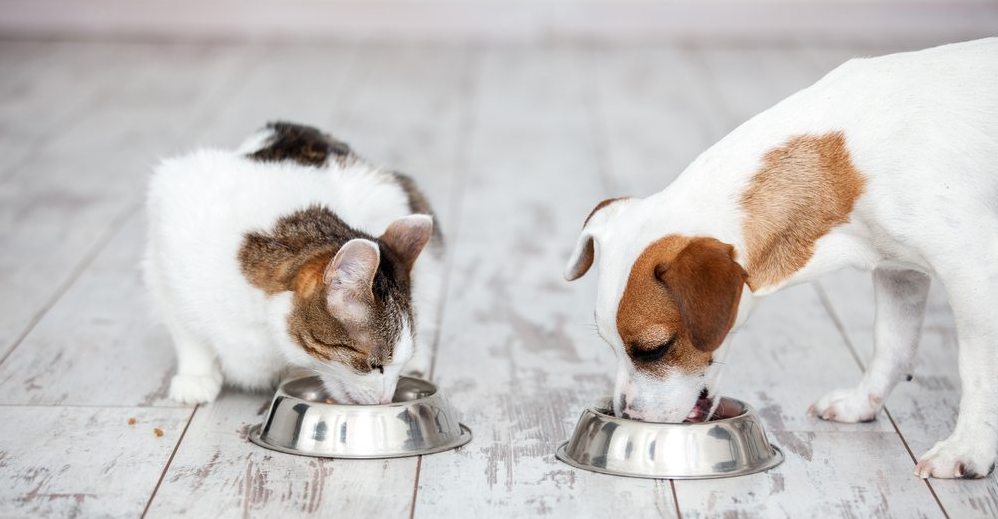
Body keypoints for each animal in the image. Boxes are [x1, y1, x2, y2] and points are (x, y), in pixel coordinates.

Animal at [144, 122, 442, 405]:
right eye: (375, 365)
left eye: (395, 366)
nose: (386, 399)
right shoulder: (166, 246)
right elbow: (186, 332)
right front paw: (196, 376)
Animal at [564, 38, 998, 479]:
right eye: (609, 344)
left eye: (654, 349)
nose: (626, 414)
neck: (844, 163)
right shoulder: (899, 271)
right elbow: (891, 345)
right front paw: (862, 402)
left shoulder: (973, 273)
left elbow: (976, 371)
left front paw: (968, 449)